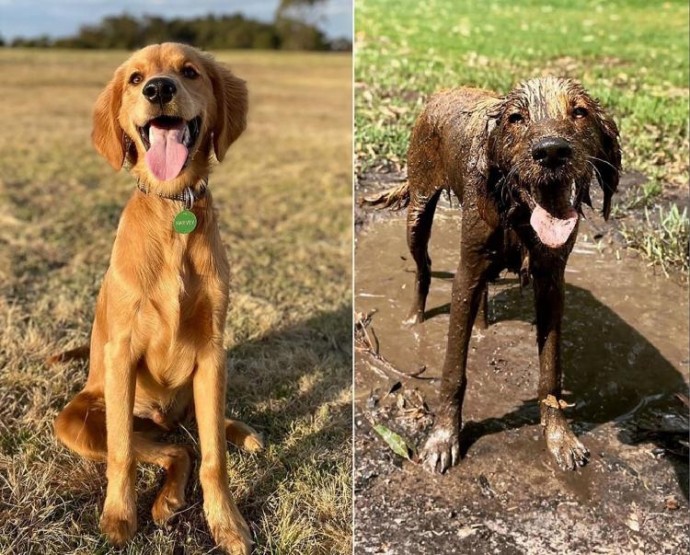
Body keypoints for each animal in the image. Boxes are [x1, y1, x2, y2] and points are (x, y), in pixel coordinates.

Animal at [50, 44, 260, 555]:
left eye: (190, 71)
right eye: (134, 78)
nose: (159, 89)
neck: (173, 208)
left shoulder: (212, 353)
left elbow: (215, 457)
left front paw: (226, 523)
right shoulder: (122, 353)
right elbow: (123, 453)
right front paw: (119, 516)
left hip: (198, 392)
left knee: (193, 439)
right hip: (80, 419)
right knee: (170, 448)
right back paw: (164, 501)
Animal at [366, 78, 620, 476]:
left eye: (580, 112)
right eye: (516, 118)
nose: (551, 152)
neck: (516, 211)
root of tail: (444, 91)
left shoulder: (551, 283)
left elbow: (551, 373)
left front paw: (559, 438)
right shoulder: (466, 273)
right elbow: (453, 371)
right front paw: (443, 439)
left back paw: (483, 325)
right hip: (418, 210)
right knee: (424, 268)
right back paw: (414, 318)